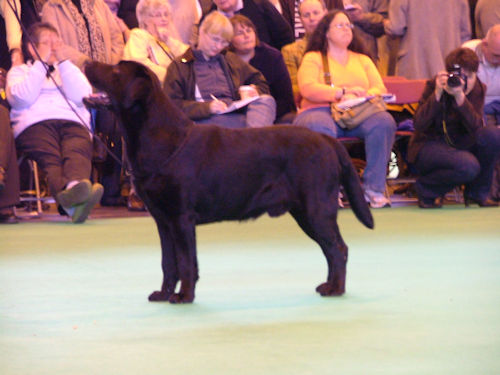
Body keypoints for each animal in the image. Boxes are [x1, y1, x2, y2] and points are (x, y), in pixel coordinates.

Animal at [86, 60, 374, 304]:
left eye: (115, 70)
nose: (87, 62)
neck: (163, 139)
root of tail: (329, 140)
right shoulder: (163, 220)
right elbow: (168, 263)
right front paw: (164, 294)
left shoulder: (181, 218)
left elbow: (186, 261)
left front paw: (184, 296)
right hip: (305, 213)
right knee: (331, 249)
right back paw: (329, 285)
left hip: (316, 209)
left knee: (338, 248)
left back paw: (336, 289)